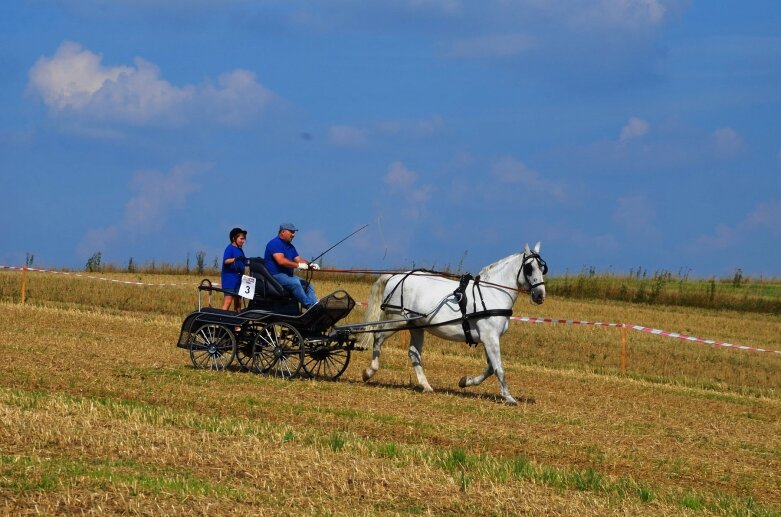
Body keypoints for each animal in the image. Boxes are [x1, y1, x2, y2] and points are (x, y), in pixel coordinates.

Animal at [362, 242, 544, 404]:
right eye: (529, 268)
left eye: (543, 268)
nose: (540, 295)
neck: (491, 294)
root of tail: (397, 276)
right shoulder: (490, 338)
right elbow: (499, 368)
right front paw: (509, 397)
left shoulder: (488, 339)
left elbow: (491, 368)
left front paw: (465, 381)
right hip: (395, 321)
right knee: (377, 338)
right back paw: (369, 372)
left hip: (416, 326)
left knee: (414, 353)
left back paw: (426, 386)